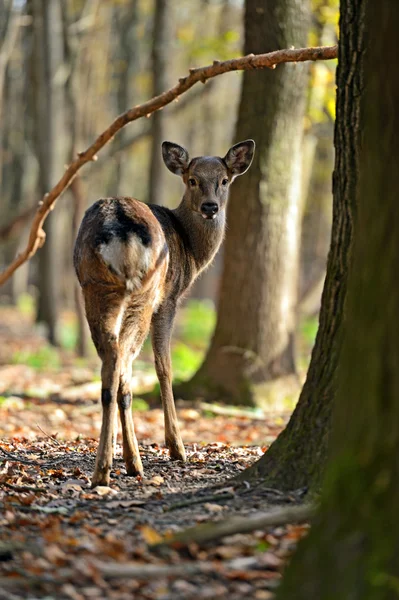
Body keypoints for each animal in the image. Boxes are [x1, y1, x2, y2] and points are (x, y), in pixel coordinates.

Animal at [73, 138, 255, 486]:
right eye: (192, 180)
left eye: (224, 180)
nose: (210, 207)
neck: (191, 251)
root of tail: (119, 229)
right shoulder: (169, 299)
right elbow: (164, 366)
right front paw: (176, 447)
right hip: (144, 294)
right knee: (124, 362)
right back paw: (129, 463)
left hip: (95, 287)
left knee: (111, 364)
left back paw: (106, 466)